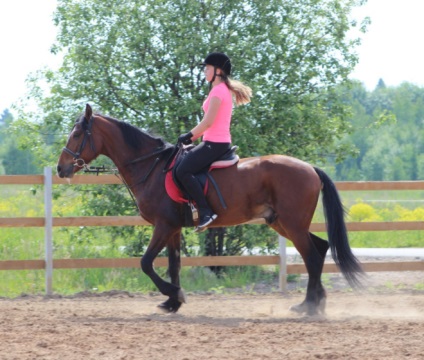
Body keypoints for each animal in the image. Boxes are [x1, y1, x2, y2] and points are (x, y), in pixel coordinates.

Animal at [55, 104, 362, 316]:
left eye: (78, 133)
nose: (60, 168)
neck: (151, 166)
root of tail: (310, 168)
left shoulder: (163, 226)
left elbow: (146, 263)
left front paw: (175, 294)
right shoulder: (173, 229)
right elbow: (174, 265)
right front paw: (172, 302)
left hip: (293, 225)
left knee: (312, 256)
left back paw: (308, 306)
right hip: (281, 223)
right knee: (319, 249)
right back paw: (317, 303)